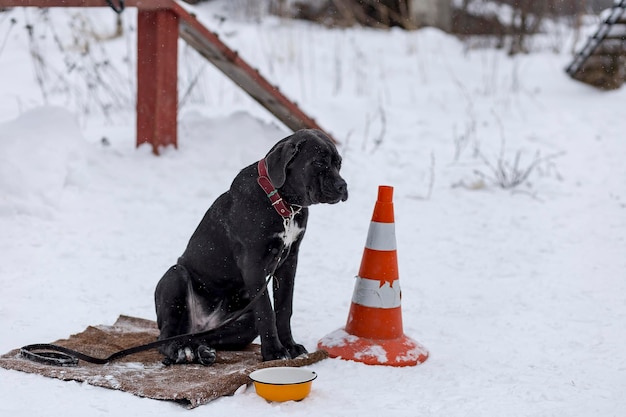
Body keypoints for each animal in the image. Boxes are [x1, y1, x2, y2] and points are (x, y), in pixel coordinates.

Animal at [152, 127, 346, 364]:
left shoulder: (289, 261)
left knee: (203, 337)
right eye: (319, 162)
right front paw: (274, 352)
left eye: (339, 163)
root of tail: (202, 323)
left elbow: (283, 308)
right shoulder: (253, 263)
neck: (283, 203)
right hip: (176, 276)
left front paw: (290, 346)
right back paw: (182, 351)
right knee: (166, 337)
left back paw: (201, 351)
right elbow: (267, 311)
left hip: (242, 321)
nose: (343, 186)